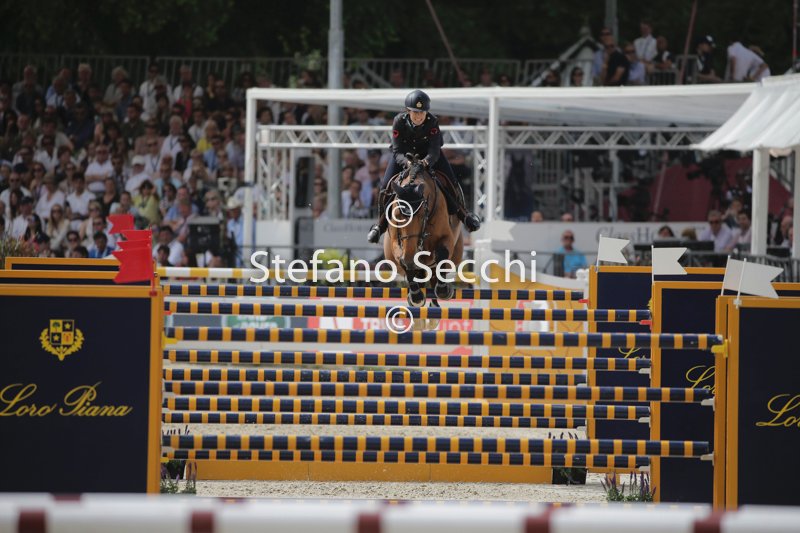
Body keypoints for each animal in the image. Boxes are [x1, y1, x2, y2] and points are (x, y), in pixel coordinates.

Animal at [383, 155, 464, 308]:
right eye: (397, 215)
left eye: (421, 216)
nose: (410, 258)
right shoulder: (396, 242)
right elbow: (403, 260)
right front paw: (416, 296)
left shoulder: (446, 238)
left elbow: (441, 253)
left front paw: (444, 290)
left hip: (456, 255)